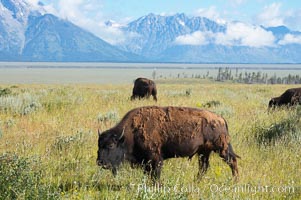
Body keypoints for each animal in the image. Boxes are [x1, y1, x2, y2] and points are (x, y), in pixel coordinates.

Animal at [96, 106, 239, 181]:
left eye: (111, 145)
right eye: (99, 145)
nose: (100, 162)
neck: (130, 133)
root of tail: (220, 119)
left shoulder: (155, 159)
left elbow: (156, 175)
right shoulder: (145, 162)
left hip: (221, 149)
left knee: (232, 161)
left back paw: (235, 180)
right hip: (204, 152)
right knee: (204, 167)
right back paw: (197, 181)